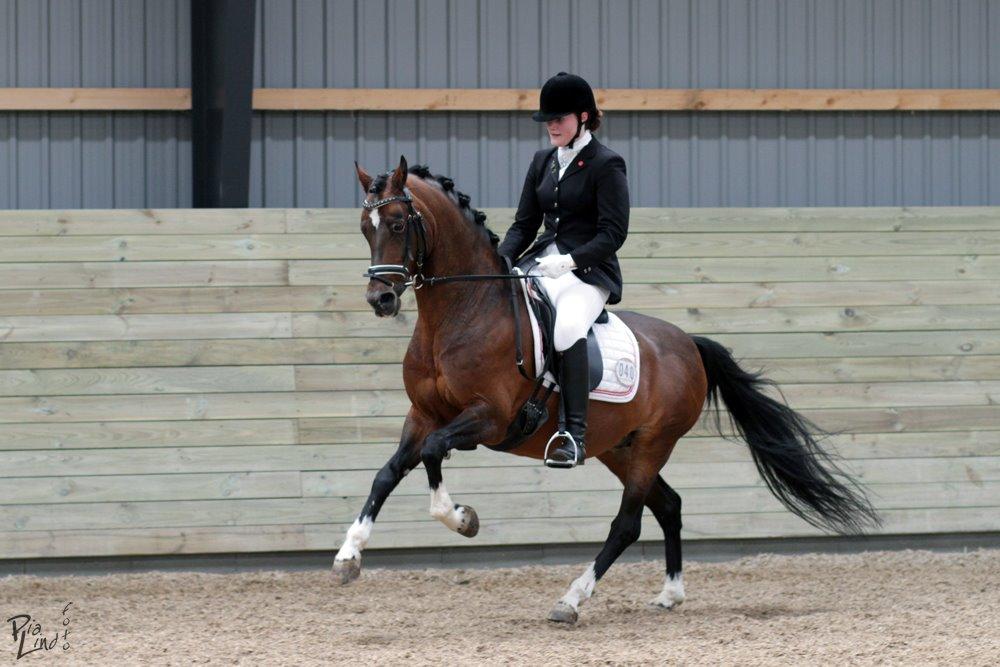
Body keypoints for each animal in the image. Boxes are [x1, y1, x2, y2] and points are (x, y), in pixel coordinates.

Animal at [333, 155, 881, 624]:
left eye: (398, 224)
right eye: (365, 228)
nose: (381, 299)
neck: (461, 313)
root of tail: (688, 343)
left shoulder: (488, 417)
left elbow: (432, 452)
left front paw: (462, 518)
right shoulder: (423, 414)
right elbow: (387, 473)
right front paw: (348, 556)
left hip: (654, 443)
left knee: (629, 523)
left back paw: (572, 600)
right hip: (618, 446)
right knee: (668, 505)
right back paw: (669, 594)